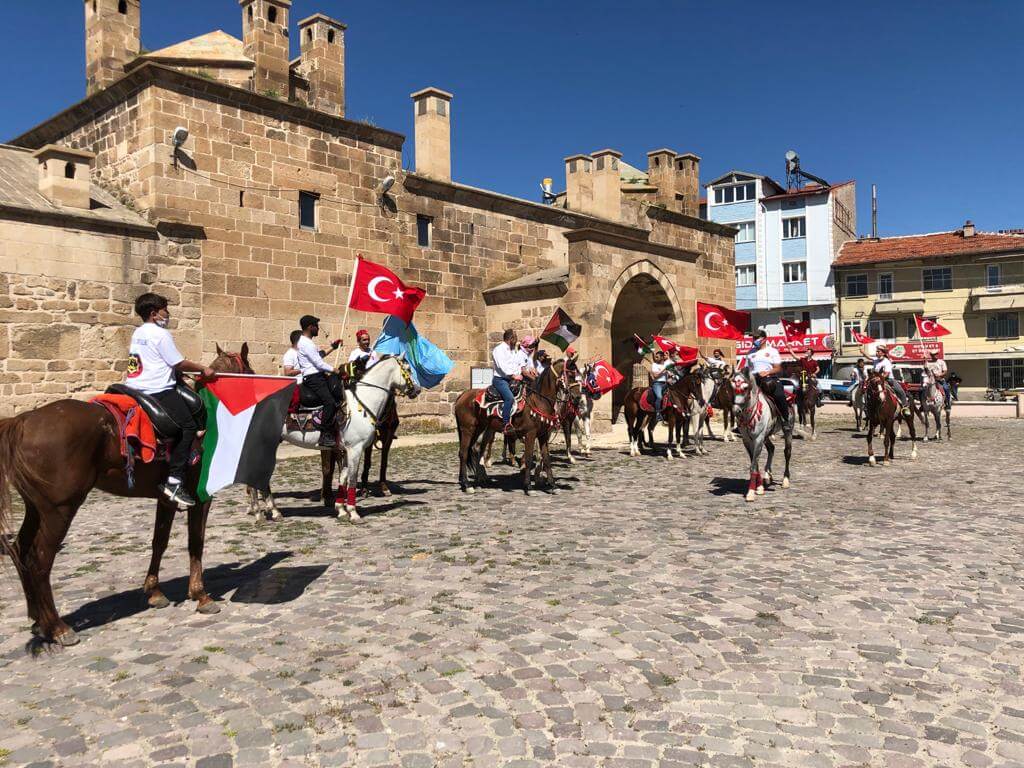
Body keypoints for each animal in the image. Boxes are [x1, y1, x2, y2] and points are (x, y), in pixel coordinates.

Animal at [0, 346, 251, 647]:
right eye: (249, 369)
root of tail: (23, 421)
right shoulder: (200, 497)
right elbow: (195, 544)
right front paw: (200, 595)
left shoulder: (166, 499)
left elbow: (159, 542)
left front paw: (155, 593)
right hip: (59, 509)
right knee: (39, 560)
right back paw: (58, 628)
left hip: (36, 508)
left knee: (20, 550)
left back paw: (39, 622)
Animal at [733, 368, 794, 501]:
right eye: (732, 386)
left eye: (745, 388)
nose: (736, 411)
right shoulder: (747, 441)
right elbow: (754, 464)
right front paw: (759, 487)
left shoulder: (758, 439)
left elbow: (753, 465)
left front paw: (751, 492)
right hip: (766, 436)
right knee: (771, 448)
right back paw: (767, 475)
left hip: (787, 430)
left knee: (787, 452)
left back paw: (785, 480)